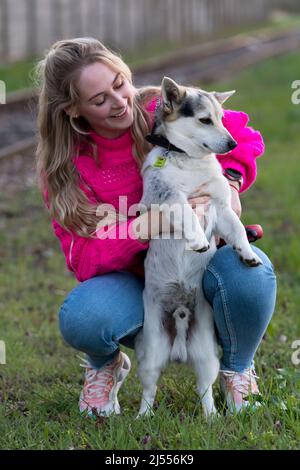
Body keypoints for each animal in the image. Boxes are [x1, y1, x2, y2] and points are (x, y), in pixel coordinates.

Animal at [134, 78, 262, 418]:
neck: (188, 162)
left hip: (207, 357)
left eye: (222, 119)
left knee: (204, 390)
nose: (232, 144)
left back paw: (212, 418)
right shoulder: (166, 198)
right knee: (149, 390)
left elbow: (237, 231)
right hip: (150, 357)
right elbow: (186, 212)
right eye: (205, 120)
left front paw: (247, 253)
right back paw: (143, 416)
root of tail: (179, 346)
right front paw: (197, 241)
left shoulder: (221, 207)